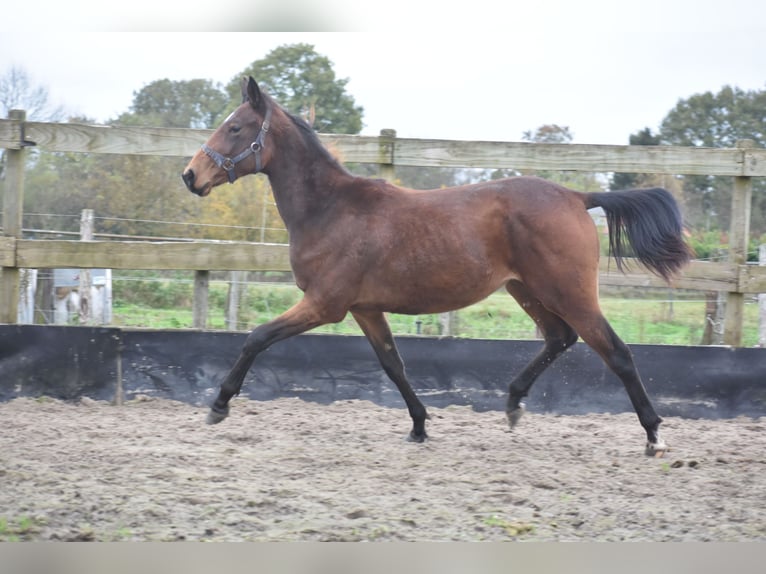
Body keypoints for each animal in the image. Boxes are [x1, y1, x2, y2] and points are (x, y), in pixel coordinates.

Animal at [183, 76, 692, 456]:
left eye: (235, 127)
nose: (190, 176)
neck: (331, 210)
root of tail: (576, 196)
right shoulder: (365, 309)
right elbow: (393, 365)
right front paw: (420, 426)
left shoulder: (325, 304)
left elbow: (256, 338)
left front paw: (219, 405)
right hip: (527, 289)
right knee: (559, 338)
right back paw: (512, 403)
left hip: (570, 292)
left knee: (616, 352)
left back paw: (654, 435)